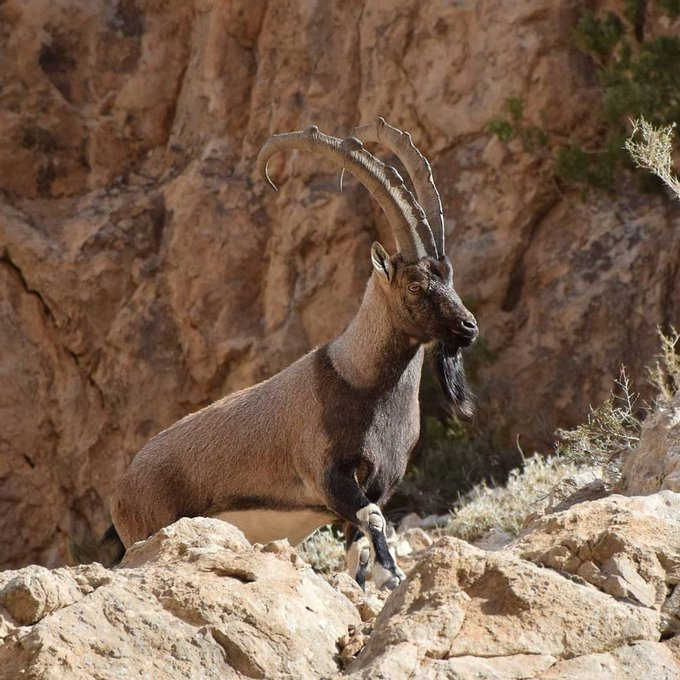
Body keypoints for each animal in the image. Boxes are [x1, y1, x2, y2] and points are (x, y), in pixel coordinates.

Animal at [107, 119, 478, 588]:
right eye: (414, 285)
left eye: (447, 275)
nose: (468, 327)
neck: (358, 377)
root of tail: (120, 491)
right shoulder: (329, 477)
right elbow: (373, 520)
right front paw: (393, 576)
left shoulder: (378, 484)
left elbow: (358, 547)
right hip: (149, 530)